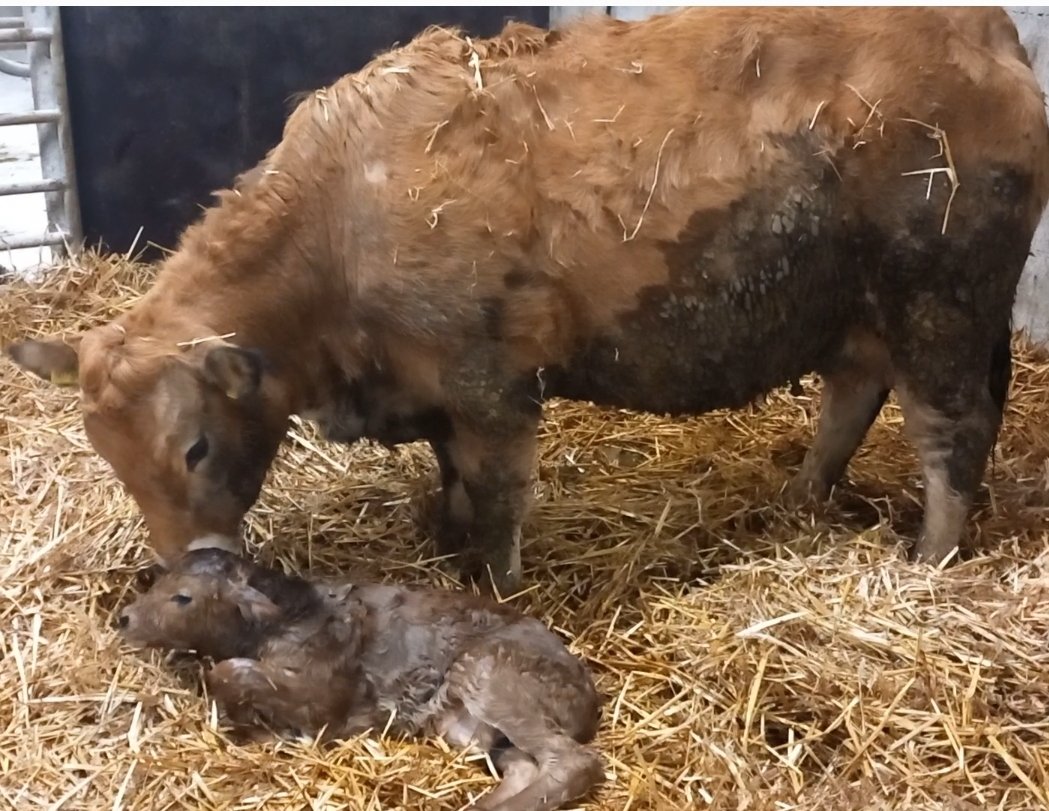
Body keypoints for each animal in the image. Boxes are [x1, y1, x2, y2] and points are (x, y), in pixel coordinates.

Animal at [7, 7, 1049, 596]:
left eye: (192, 446)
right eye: (111, 457)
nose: (190, 569)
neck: (337, 218)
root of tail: (983, 27)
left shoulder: (491, 385)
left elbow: (499, 495)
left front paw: (495, 584)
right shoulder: (433, 390)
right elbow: (453, 480)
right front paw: (444, 539)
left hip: (942, 304)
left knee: (949, 435)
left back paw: (928, 560)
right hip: (859, 310)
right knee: (850, 397)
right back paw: (797, 498)